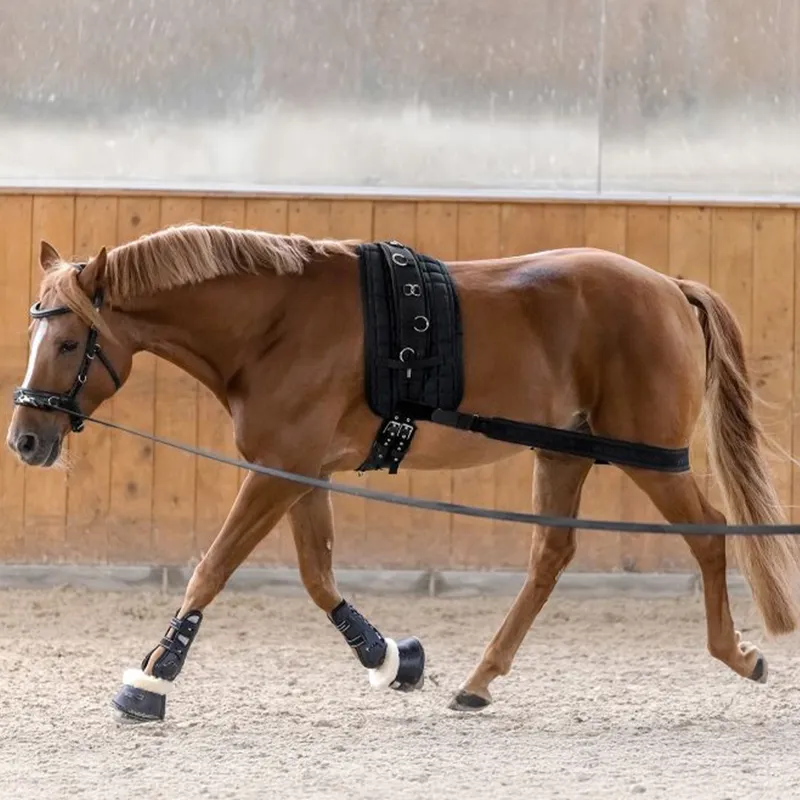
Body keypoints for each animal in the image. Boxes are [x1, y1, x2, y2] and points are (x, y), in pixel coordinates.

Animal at [7, 222, 800, 723]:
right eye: (35, 332)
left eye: (71, 341)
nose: (25, 439)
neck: (276, 323)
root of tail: (667, 287)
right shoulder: (300, 472)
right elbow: (317, 575)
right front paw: (391, 658)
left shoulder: (278, 470)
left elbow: (215, 566)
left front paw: (153, 676)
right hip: (564, 452)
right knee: (550, 557)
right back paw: (478, 683)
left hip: (651, 459)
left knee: (709, 536)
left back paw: (737, 654)